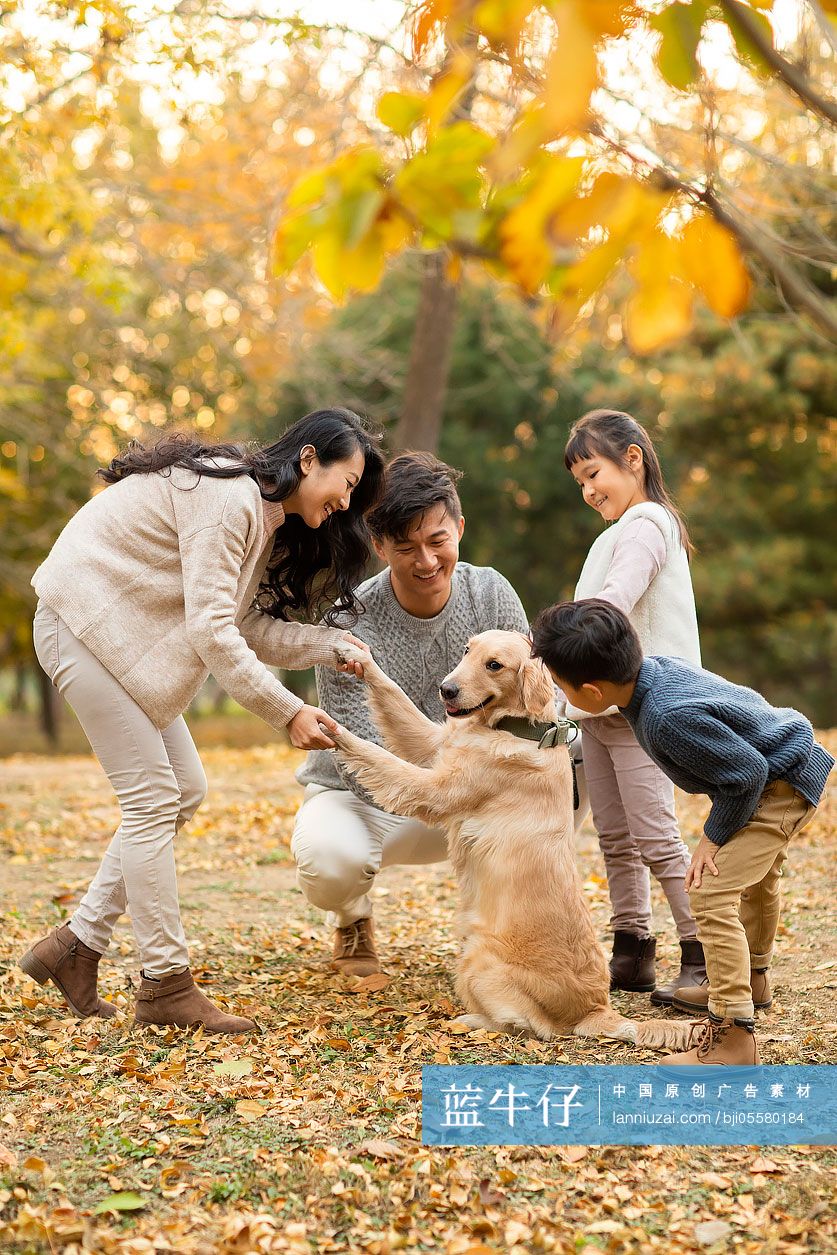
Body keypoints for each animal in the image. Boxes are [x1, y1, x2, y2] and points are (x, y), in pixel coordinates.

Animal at [331, 632, 692, 1054]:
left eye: (495, 665)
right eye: (467, 651)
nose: (446, 689)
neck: (517, 728)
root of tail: (597, 1008)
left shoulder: (434, 789)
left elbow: (377, 757)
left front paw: (328, 729)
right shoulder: (433, 741)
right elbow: (391, 691)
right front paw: (354, 654)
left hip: (479, 956)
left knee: (530, 1028)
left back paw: (469, 1021)